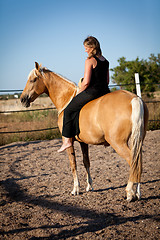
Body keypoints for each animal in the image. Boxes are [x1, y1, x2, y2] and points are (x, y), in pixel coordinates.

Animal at [20, 62, 149, 202]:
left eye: (33, 80)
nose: (22, 99)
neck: (66, 99)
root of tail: (134, 98)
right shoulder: (83, 142)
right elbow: (86, 162)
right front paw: (89, 186)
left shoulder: (69, 141)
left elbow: (73, 164)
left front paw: (75, 189)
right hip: (137, 141)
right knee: (138, 163)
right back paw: (138, 193)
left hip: (118, 143)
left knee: (133, 162)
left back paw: (129, 193)